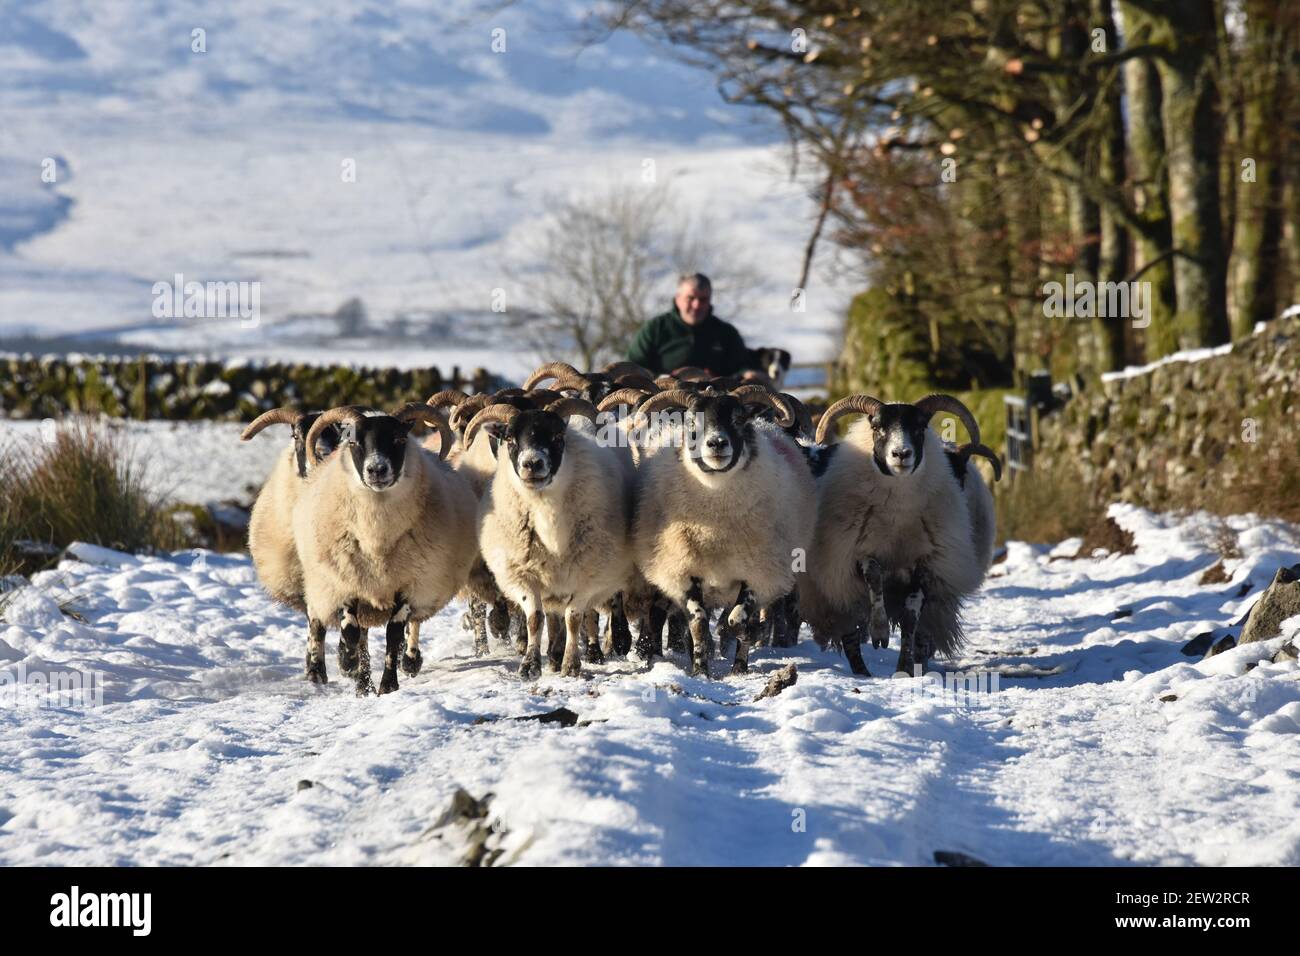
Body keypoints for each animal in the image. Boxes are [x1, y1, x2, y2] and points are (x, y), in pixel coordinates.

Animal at [293, 403, 478, 697]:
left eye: (399, 439)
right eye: (353, 442)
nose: (376, 470)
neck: (376, 539)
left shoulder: (408, 584)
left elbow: (394, 635)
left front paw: (388, 685)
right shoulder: (349, 580)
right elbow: (351, 631)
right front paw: (348, 662)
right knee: (352, 632)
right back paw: (354, 678)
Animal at [465, 395, 631, 681]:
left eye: (556, 436)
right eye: (510, 439)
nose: (532, 464)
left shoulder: (586, 575)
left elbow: (574, 617)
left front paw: (571, 665)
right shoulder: (523, 574)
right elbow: (535, 618)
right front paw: (530, 665)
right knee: (552, 616)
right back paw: (553, 655)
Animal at [629, 385, 811, 676]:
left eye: (738, 419)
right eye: (692, 422)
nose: (716, 443)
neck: (716, 528)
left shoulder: (756, 573)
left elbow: (737, 620)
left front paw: (748, 639)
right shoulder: (683, 569)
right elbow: (699, 623)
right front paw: (700, 671)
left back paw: (739, 666)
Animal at [795, 392, 998, 676]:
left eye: (920, 427)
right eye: (877, 427)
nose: (901, 454)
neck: (897, 520)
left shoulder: (926, 564)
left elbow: (911, 618)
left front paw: (903, 668)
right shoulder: (854, 555)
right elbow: (874, 577)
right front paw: (879, 632)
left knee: (921, 635)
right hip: (837, 593)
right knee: (850, 637)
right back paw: (862, 672)